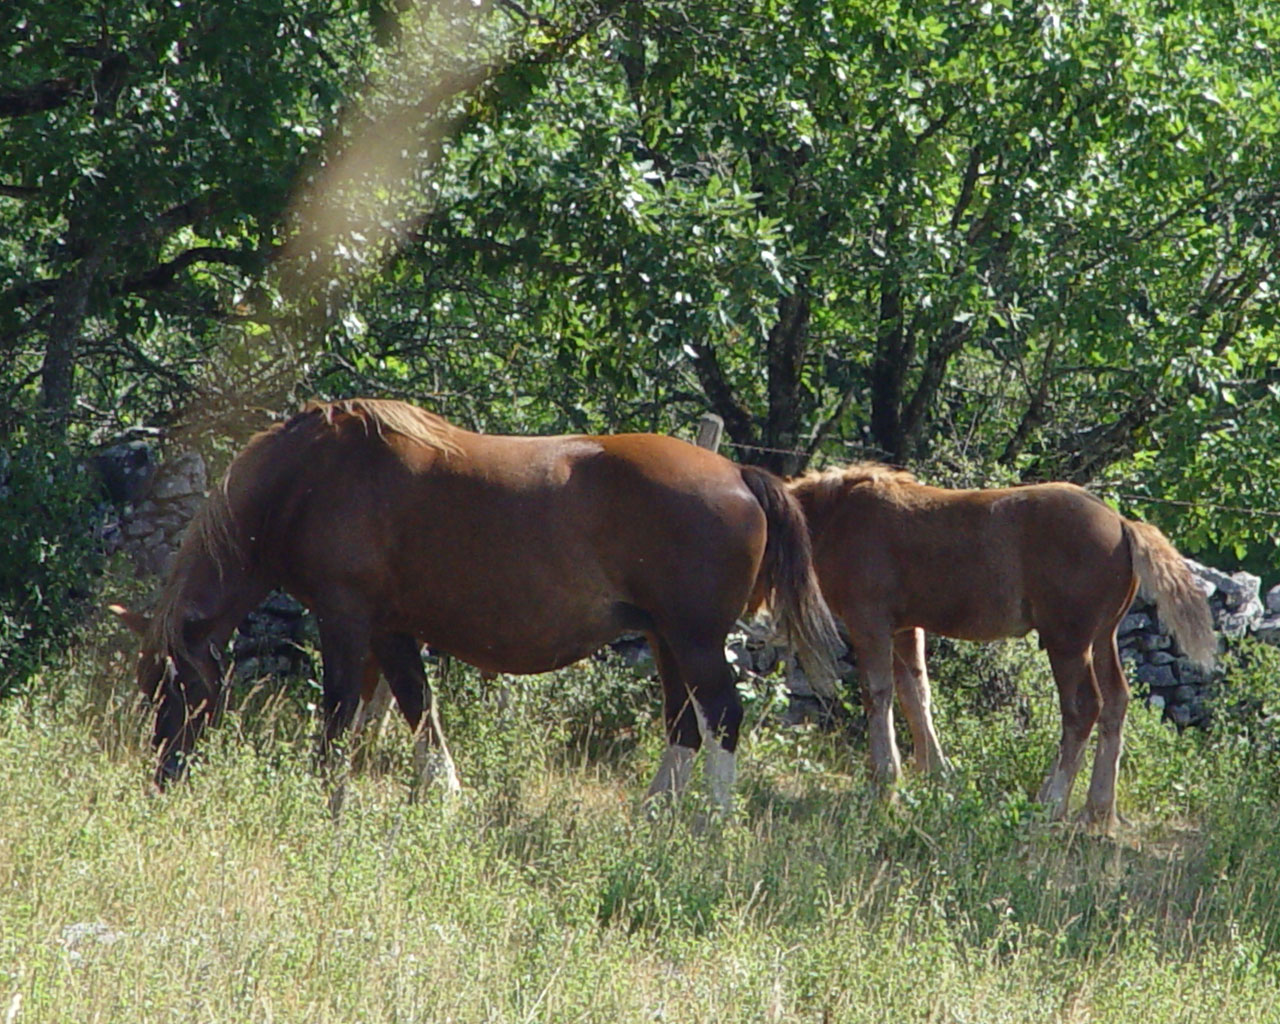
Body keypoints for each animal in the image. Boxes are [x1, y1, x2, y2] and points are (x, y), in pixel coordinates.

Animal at [115, 399, 844, 808]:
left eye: (171, 687)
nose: (161, 779)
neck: (309, 476)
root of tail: (740, 473)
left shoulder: (346, 619)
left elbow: (341, 713)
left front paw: (326, 796)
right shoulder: (390, 630)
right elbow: (418, 709)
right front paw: (441, 795)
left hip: (692, 639)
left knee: (721, 717)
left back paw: (710, 828)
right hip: (669, 641)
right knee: (685, 724)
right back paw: (654, 817)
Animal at [783, 463, 1213, 829]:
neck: (840, 516)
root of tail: (1122, 524)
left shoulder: (869, 621)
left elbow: (878, 693)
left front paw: (885, 783)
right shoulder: (906, 628)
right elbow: (915, 694)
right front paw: (936, 774)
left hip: (1067, 642)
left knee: (1084, 708)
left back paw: (1050, 804)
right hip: (1103, 638)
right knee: (1116, 703)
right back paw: (1097, 811)